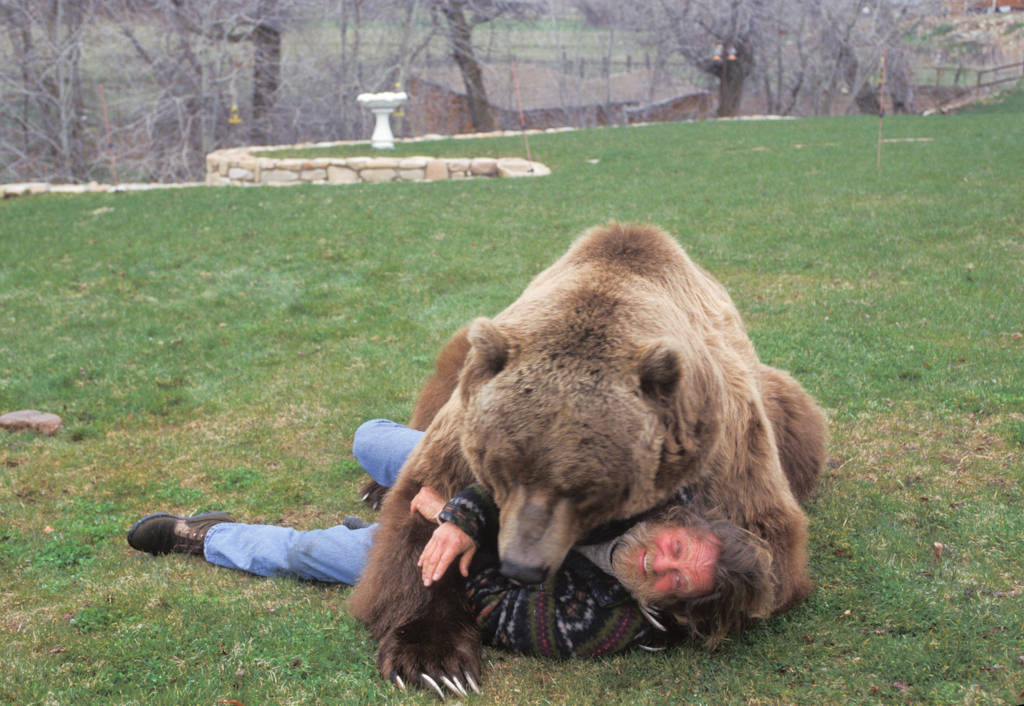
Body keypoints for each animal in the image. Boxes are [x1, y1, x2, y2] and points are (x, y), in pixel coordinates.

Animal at [348, 222, 824, 692]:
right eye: (504, 470)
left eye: (585, 491)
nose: (522, 567)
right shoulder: (464, 425)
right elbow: (421, 507)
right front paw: (432, 656)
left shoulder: (723, 447)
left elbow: (765, 544)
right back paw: (374, 489)